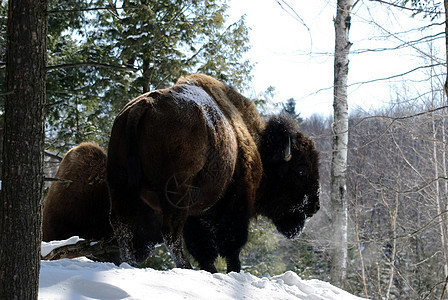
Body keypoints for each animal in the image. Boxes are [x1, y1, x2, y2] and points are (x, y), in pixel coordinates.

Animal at [107, 74, 320, 274]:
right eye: (302, 170)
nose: (315, 207)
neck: (259, 147)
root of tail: (143, 106)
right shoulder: (235, 205)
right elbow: (230, 245)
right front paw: (232, 270)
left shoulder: (198, 214)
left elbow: (204, 247)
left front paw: (211, 269)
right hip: (175, 194)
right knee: (170, 232)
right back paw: (184, 267)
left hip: (120, 185)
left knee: (122, 226)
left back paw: (130, 264)